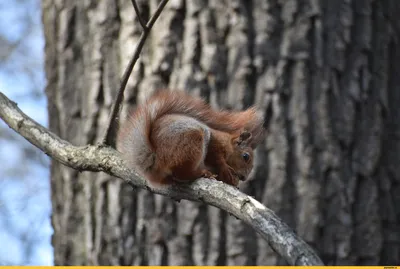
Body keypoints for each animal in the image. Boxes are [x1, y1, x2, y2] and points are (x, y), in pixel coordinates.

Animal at [116, 89, 266, 185]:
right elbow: (216, 157)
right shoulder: (215, 142)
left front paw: (232, 180)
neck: (228, 143)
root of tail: (156, 160)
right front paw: (225, 168)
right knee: (182, 173)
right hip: (192, 141)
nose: (244, 178)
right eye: (246, 156)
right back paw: (201, 173)